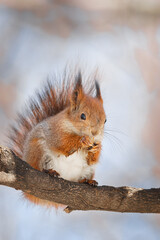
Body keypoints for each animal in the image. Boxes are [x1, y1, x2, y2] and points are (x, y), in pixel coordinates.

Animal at [9, 71, 106, 208]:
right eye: (82, 116)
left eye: (105, 120)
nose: (95, 133)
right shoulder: (55, 131)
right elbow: (62, 143)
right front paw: (82, 140)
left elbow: (92, 159)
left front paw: (97, 148)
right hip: (38, 151)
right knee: (40, 167)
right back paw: (50, 171)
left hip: (88, 170)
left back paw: (87, 181)